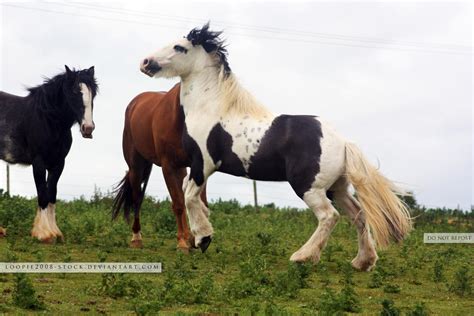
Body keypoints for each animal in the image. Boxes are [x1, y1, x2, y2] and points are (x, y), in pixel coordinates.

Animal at [0, 66, 98, 242]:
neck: (48, 120)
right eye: (74, 91)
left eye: (93, 92)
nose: (88, 128)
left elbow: (52, 193)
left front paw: (55, 232)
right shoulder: (39, 162)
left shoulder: (58, 163)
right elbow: (42, 193)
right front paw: (44, 234)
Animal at [113, 84, 207, 252]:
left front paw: (195, 238)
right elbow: (178, 204)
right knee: (137, 199)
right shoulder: (168, 166)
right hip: (136, 167)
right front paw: (182, 242)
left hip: (179, 168)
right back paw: (136, 238)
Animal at [141, 23, 412, 270]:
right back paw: (362, 262)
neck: (212, 108)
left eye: (179, 47)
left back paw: (303, 257)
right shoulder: (200, 167)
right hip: (337, 188)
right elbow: (192, 196)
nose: (145, 62)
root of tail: (344, 143)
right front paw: (204, 233)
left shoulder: (203, 163)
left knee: (329, 216)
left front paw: (203, 238)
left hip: (308, 187)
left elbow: (189, 196)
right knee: (358, 214)